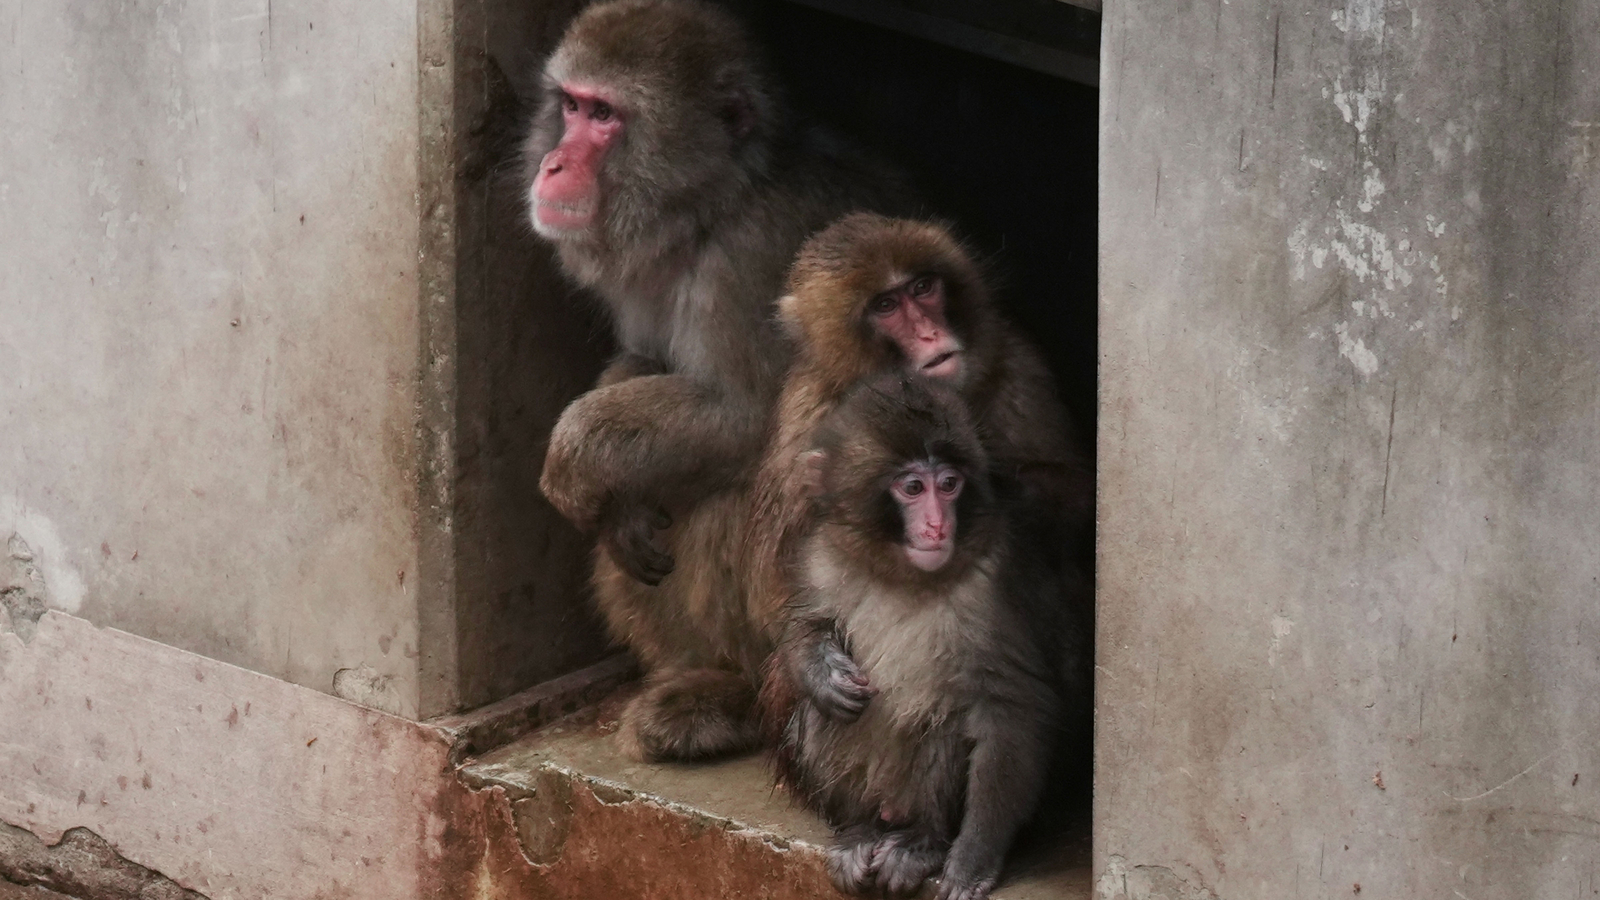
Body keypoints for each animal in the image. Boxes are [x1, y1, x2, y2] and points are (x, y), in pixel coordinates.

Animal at [524, 0, 912, 760]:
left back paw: (735, 697)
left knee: (736, 492)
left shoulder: (755, 257)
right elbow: (643, 362)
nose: (554, 162)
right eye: (572, 105)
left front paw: (576, 456)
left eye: (605, 117)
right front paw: (620, 503)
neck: (714, 208)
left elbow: (752, 418)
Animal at [744, 212, 1093, 644]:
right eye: (886, 305)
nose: (930, 332)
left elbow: (1079, 493)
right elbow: (775, 599)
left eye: (923, 287)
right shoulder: (805, 421)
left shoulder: (1015, 366)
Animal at [766, 374, 1077, 900]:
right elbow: (803, 625)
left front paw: (974, 857)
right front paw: (820, 670)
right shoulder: (822, 554)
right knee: (821, 716)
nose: (936, 524)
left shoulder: (995, 584)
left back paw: (921, 841)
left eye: (949, 485)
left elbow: (1013, 705)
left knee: (945, 723)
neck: (903, 575)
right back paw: (860, 830)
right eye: (912, 488)